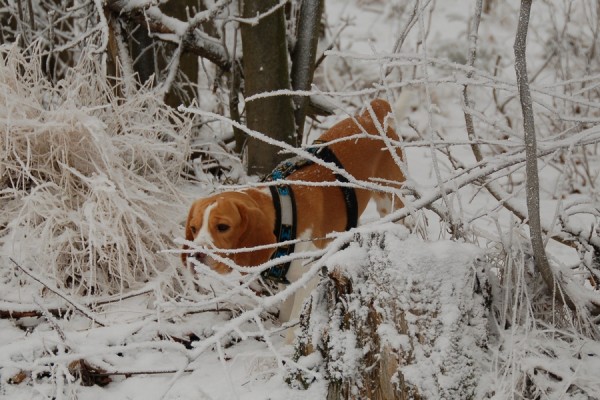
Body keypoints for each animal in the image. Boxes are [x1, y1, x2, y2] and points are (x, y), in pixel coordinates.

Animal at [183, 98, 406, 324]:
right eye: (193, 228)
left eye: (222, 226)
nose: (194, 255)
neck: (282, 214)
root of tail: (370, 115)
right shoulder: (288, 283)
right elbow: (284, 316)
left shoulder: (305, 282)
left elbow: (292, 324)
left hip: (392, 200)